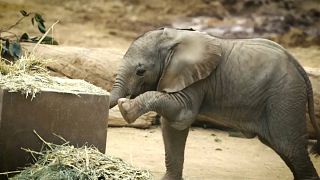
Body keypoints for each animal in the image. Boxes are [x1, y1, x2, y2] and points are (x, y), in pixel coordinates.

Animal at [108, 28, 320, 180]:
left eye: (140, 71)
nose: (123, 98)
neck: (173, 38)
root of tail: (301, 69)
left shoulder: (197, 79)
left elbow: (182, 115)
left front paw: (125, 107)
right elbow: (172, 126)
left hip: (285, 96)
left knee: (290, 146)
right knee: (284, 149)